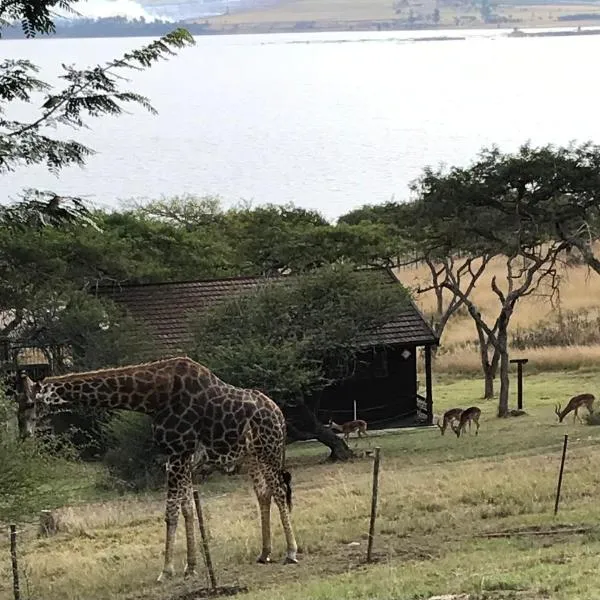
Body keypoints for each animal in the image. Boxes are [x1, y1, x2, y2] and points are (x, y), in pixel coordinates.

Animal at [22, 356, 300, 580]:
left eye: (30, 404)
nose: (24, 434)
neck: (153, 398)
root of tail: (280, 415)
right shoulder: (178, 458)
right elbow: (187, 508)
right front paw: (190, 566)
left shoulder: (178, 453)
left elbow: (171, 512)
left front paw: (167, 570)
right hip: (253, 457)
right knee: (264, 493)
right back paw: (264, 553)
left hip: (269, 450)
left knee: (278, 491)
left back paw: (291, 552)